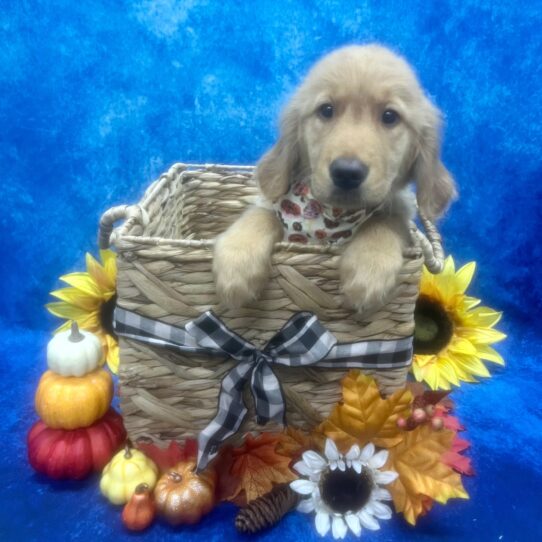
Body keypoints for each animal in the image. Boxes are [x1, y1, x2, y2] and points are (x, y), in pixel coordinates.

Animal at [215, 44, 456, 312]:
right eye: (326, 110)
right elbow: (261, 216)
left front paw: (369, 269)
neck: (329, 218)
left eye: (390, 116)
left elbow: (385, 221)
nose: (347, 173)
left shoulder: (398, 213)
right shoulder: (275, 206)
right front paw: (236, 262)